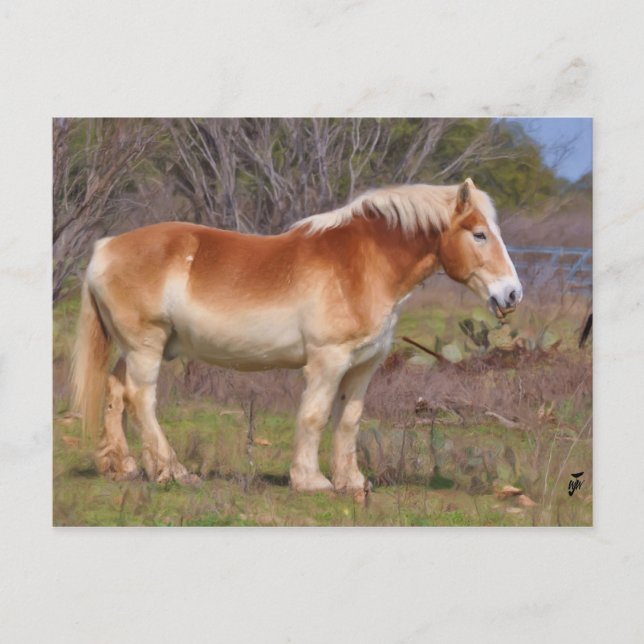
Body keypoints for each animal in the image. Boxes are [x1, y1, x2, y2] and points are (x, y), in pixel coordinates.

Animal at [71, 178, 522, 492]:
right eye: (479, 234)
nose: (512, 294)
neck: (358, 266)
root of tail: (105, 247)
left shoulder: (363, 366)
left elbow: (348, 420)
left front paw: (351, 481)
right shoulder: (328, 361)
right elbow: (315, 415)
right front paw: (311, 481)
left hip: (142, 348)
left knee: (116, 392)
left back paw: (123, 467)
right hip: (146, 347)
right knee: (140, 399)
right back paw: (173, 471)